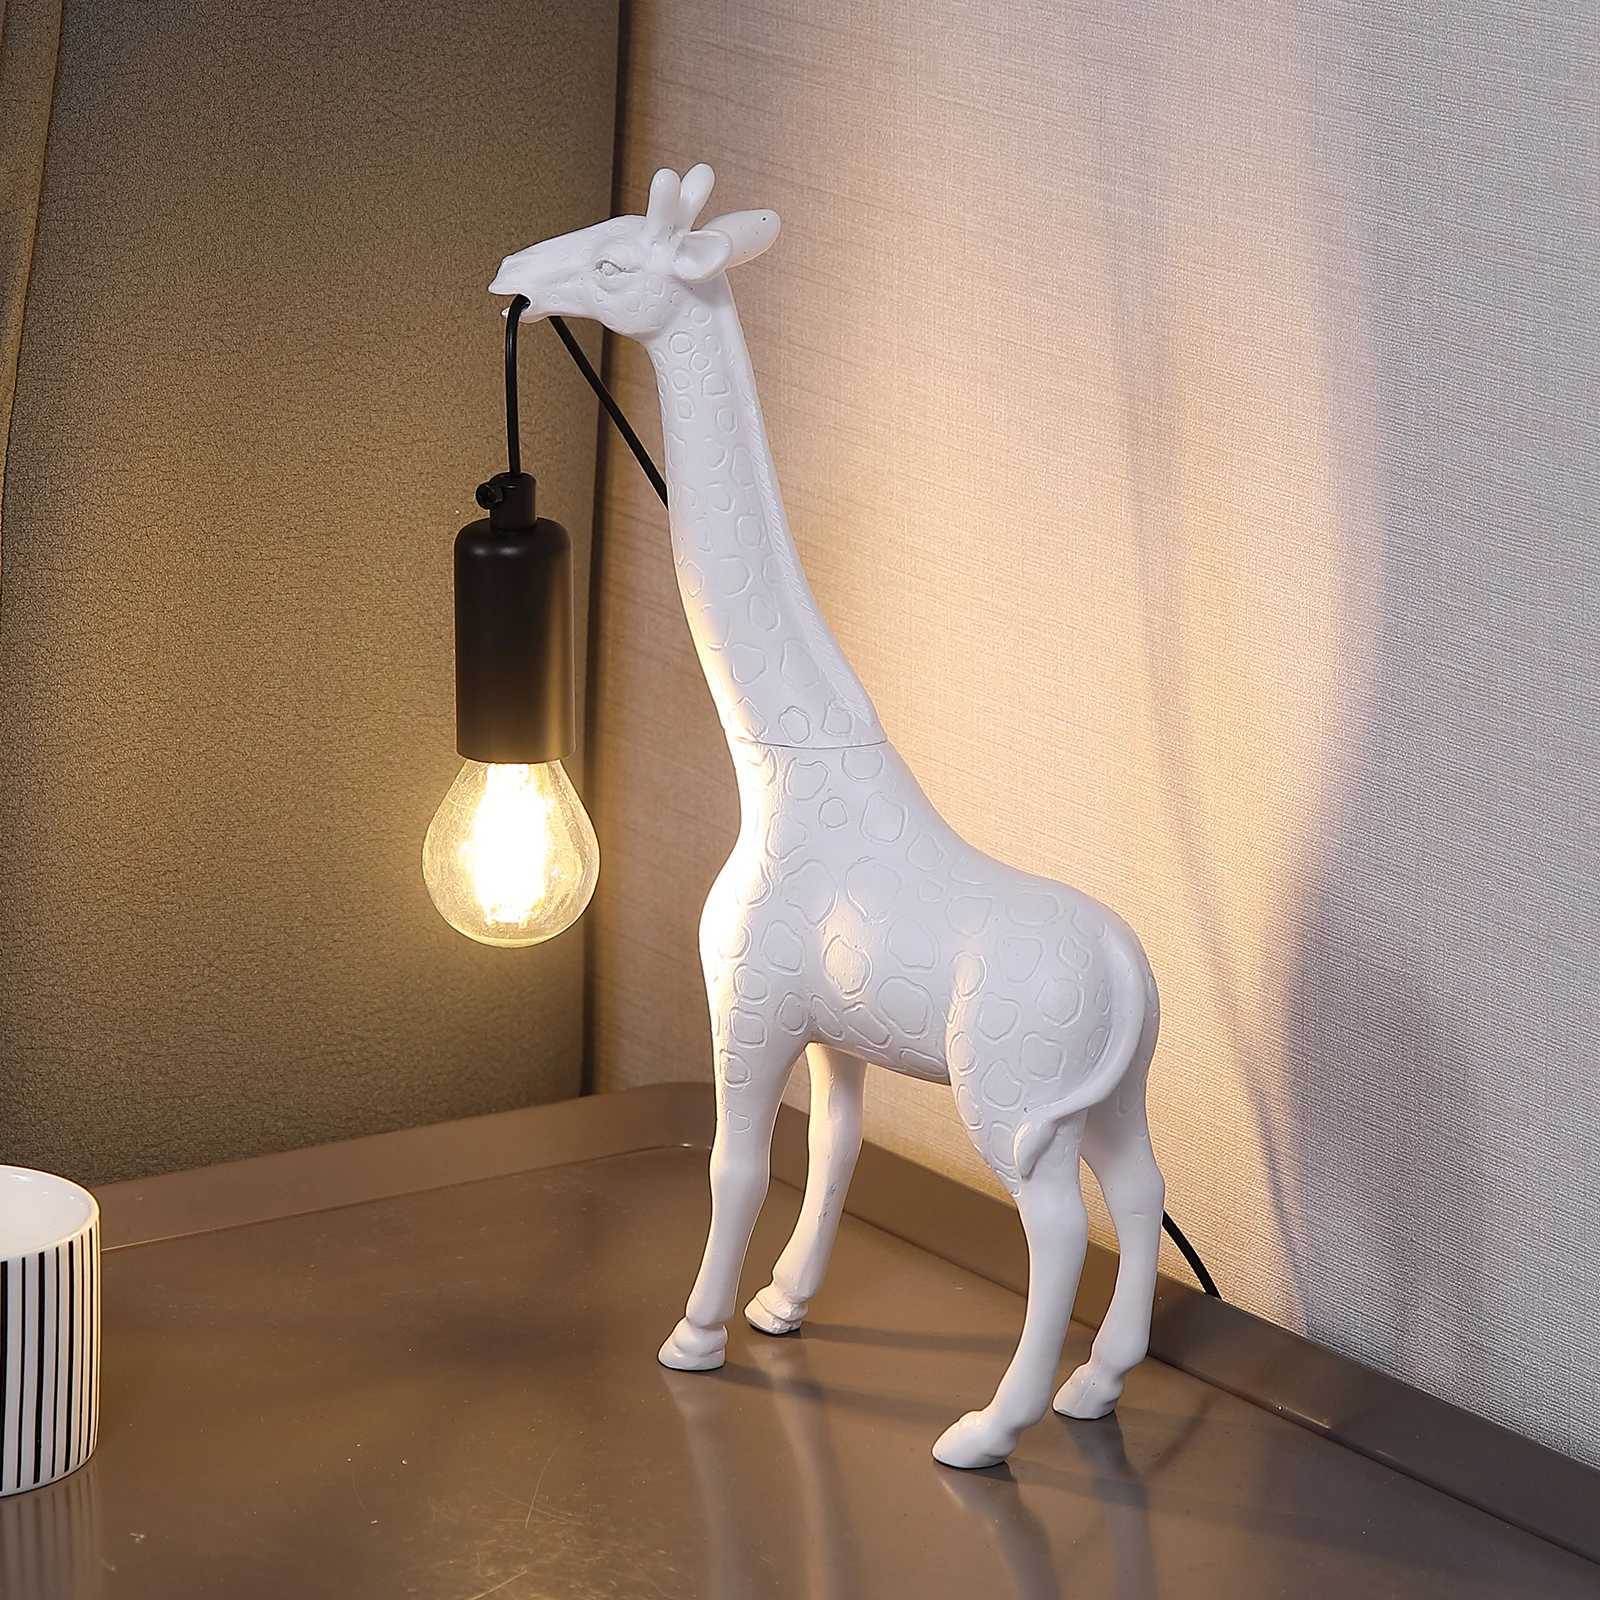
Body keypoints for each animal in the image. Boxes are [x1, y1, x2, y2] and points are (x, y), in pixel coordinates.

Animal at [490, 164, 1167, 1469]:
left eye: (615, 262)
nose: (510, 275)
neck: (776, 770)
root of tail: (1123, 968)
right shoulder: (835, 1028)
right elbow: (834, 1149)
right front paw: (781, 1305)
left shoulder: (746, 999)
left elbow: (738, 1164)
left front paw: (696, 1331)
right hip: (1108, 1095)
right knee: (1145, 1192)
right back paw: (1095, 1387)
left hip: (1010, 1096)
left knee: (1059, 1227)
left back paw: (986, 1428)